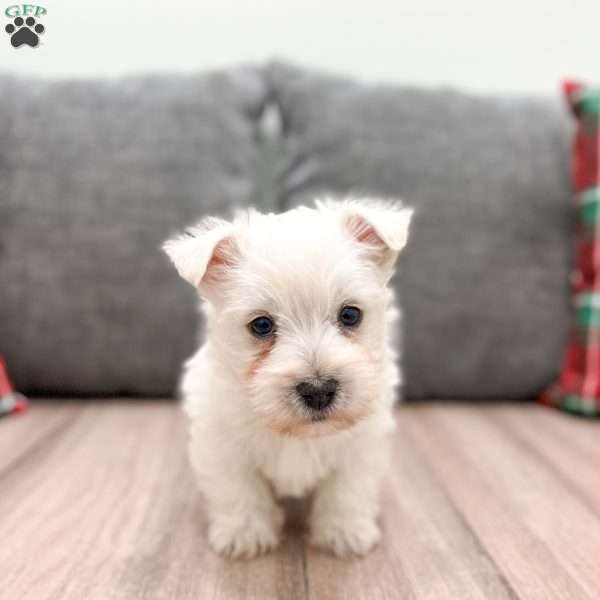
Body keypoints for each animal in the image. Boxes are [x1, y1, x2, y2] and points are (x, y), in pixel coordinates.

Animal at [162, 199, 410, 560]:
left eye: (350, 315)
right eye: (261, 325)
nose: (318, 391)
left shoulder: (361, 444)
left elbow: (347, 490)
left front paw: (345, 532)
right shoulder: (222, 443)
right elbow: (238, 488)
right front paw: (244, 534)